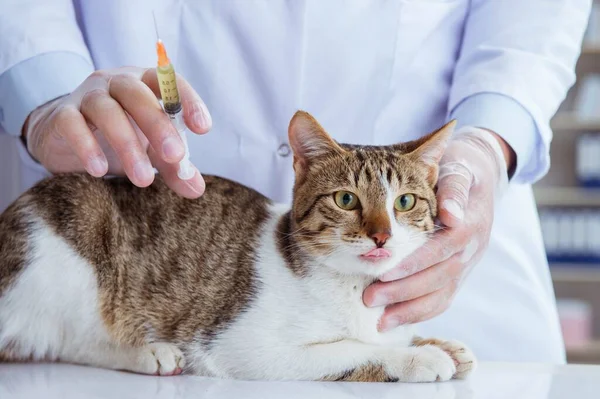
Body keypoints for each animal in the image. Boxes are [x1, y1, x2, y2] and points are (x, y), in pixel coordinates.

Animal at [0, 111, 476, 382]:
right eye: (346, 200)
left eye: (405, 202)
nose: (381, 235)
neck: (354, 288)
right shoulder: (243, 347)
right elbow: (352, 349)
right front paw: (418, 357)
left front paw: (440, 344)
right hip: (71, 237)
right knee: (62, 341)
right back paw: (148, 352)